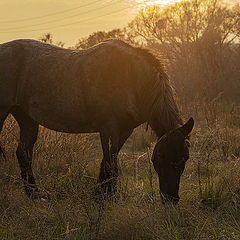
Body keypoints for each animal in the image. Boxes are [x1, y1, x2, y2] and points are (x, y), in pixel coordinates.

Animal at [0, 38, 193, 203]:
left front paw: (101, 194)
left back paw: (34, 194)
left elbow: (108, 161)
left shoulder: (124, 130)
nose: (171, 199)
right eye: (160, 156)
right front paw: (108, 197)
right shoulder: (108, 128)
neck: (129, 75)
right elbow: (110, 164)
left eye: (185, 158)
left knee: (23, 153)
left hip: (26, 118)